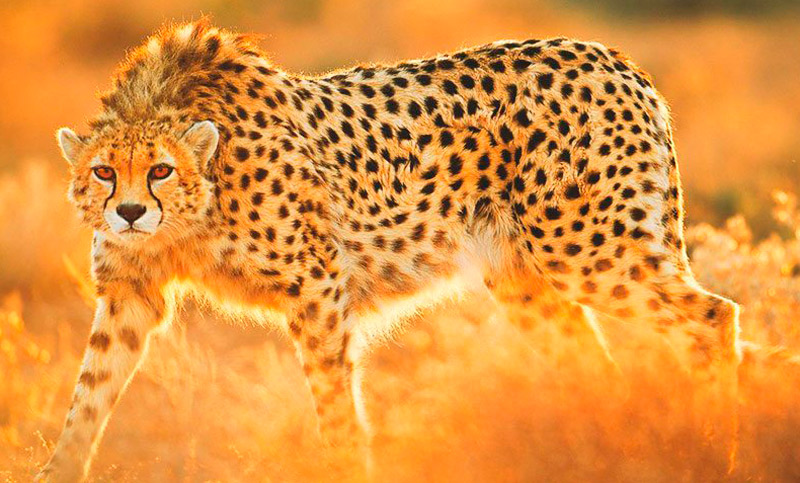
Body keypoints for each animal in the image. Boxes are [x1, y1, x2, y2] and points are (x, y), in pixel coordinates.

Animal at [38, 19, 742, 481]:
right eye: (104, 172)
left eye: (160, 170)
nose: (129, 212)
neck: (191, 216)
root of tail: (615, 58)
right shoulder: (130, 295)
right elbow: (88, 397)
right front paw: (57, 469)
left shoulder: (318, 287)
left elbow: (334, 405)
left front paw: (346, 465)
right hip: (526, 280)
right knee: (599, 366)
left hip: (587, 250)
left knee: (714, 315)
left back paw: (715, 451)